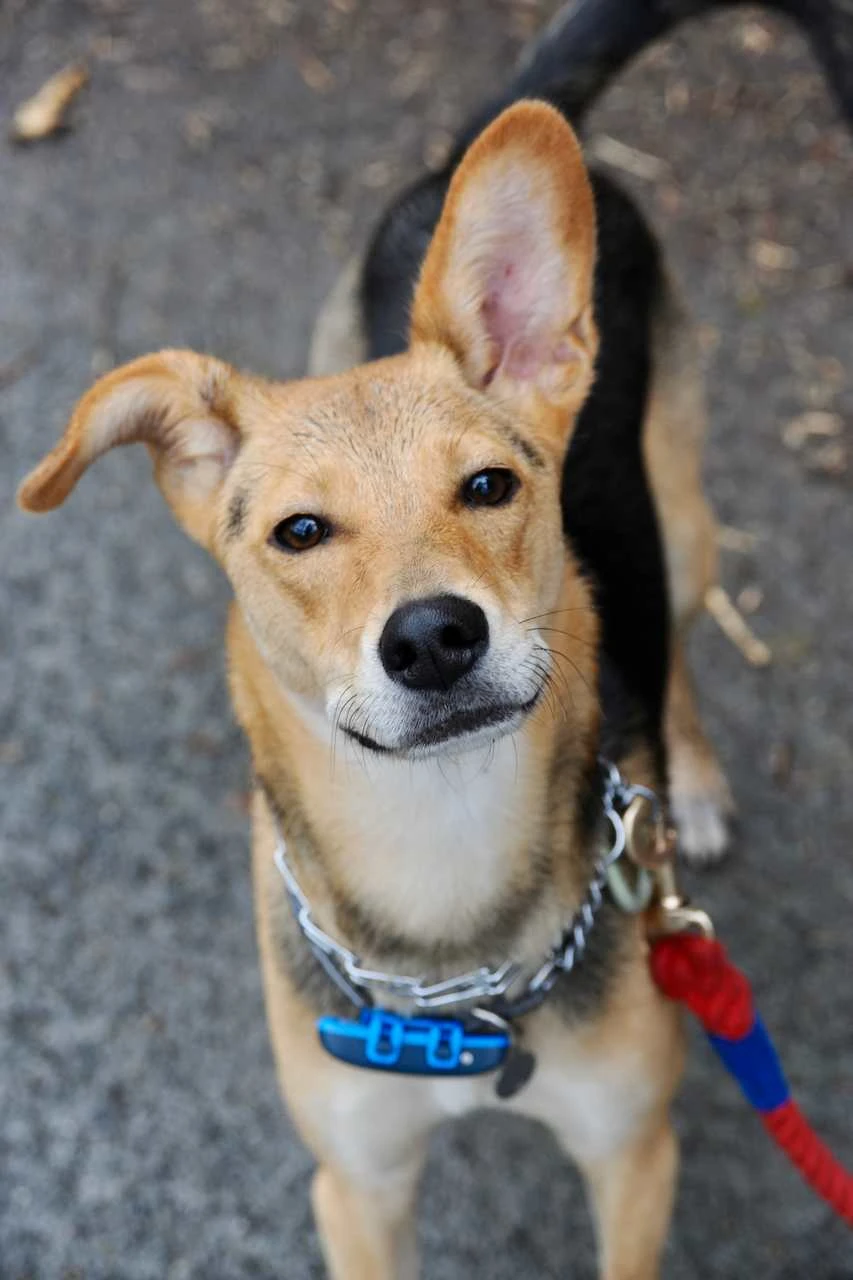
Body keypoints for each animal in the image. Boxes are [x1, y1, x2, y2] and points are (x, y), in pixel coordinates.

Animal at [14, 2, 850, 1280]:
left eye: (489, 484)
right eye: (299, 531)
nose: (434, 638)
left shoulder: (633, 1153)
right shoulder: (357, 1183)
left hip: (688, 516)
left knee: (681, 652)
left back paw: (695, 783)